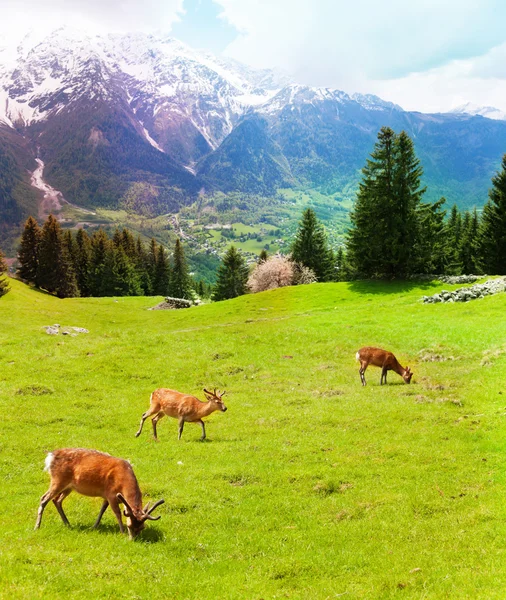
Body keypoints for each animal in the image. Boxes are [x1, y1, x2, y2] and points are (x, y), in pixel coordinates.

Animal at [34, 446, 164, 540]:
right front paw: (122, 532)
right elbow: (117, 513)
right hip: (58, 480)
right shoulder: (111, 495)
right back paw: (37, 526)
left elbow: (102, 510)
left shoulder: (106, 496)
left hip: (68, 487)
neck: (122, 480)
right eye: (130, 526)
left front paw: (94, 526)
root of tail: (50, 456)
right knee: (44, 498)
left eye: (142, 528)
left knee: (56, 500)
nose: (133, 540)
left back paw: (67, 523)